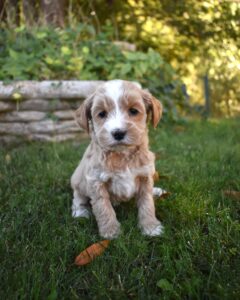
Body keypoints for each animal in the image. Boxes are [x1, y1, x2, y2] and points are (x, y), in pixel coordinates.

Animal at [70, 79, 166, 239]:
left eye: (133, 111)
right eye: (102, 114)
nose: (118, 133)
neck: (122, 156)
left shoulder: (145, 175)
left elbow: (147, 203)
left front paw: (150, 227)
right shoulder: (95, 181)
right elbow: (103, 207)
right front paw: (110, 232)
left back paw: (157, 191)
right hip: (78, 180)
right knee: (78, 197)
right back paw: (80, 212)